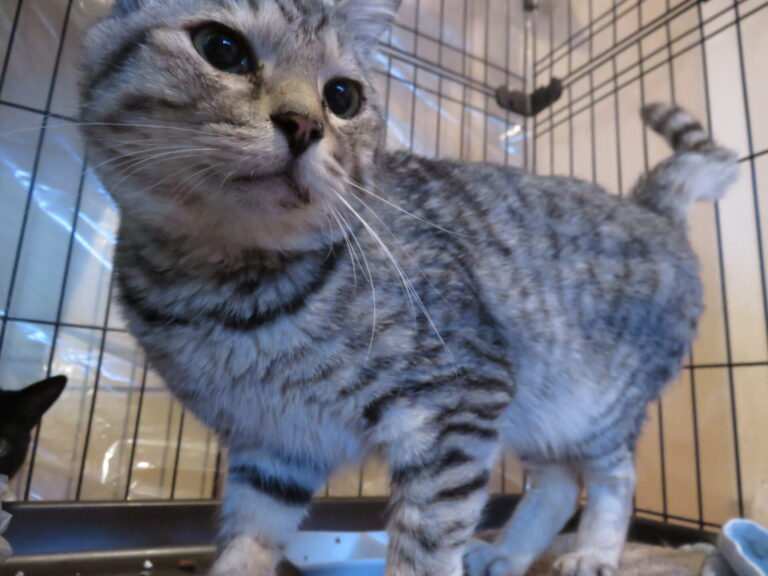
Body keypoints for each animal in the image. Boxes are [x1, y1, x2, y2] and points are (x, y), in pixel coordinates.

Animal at [77, 1, 738, 575]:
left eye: (342, 96)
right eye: (222, 48)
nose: (303, 124)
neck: (229, 291)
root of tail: (648, 203)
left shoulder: (461, 396)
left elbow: (427, 541)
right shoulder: (273, 444)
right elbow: (249, 537)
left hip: (593, 404)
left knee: (611, 478)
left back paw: (595, 552)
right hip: (534, 411)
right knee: (554, 485)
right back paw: (507, 554)